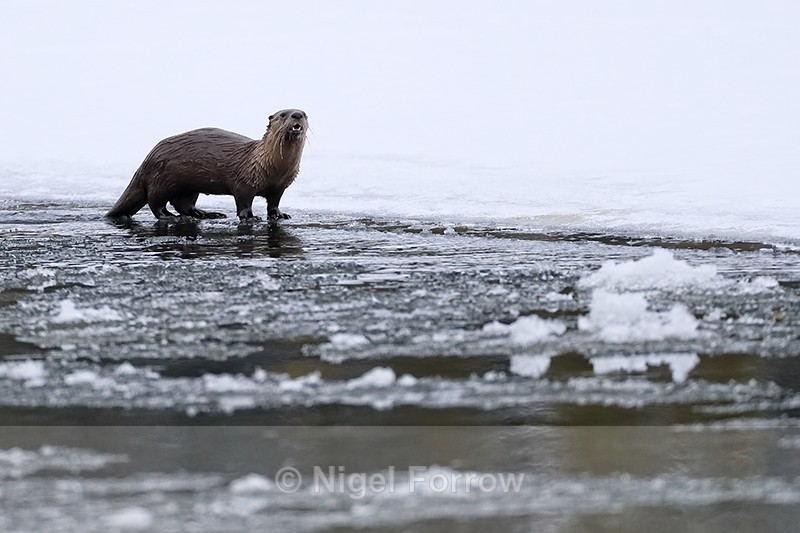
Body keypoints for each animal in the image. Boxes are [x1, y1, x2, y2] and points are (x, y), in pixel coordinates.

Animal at [106, 109, 308, 222]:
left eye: (305, 114)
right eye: (283, 115)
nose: (297, 114)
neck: (275, 168)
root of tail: (146, 161)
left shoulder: (279, 187)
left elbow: (274, 203)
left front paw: (280, 215)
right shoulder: (244, 182)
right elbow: (243, 202)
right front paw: (251, 218)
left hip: (187, 187)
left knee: (184, 204)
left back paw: (206, 214)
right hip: (161, 179)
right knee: (156, 203)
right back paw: (172, 218)